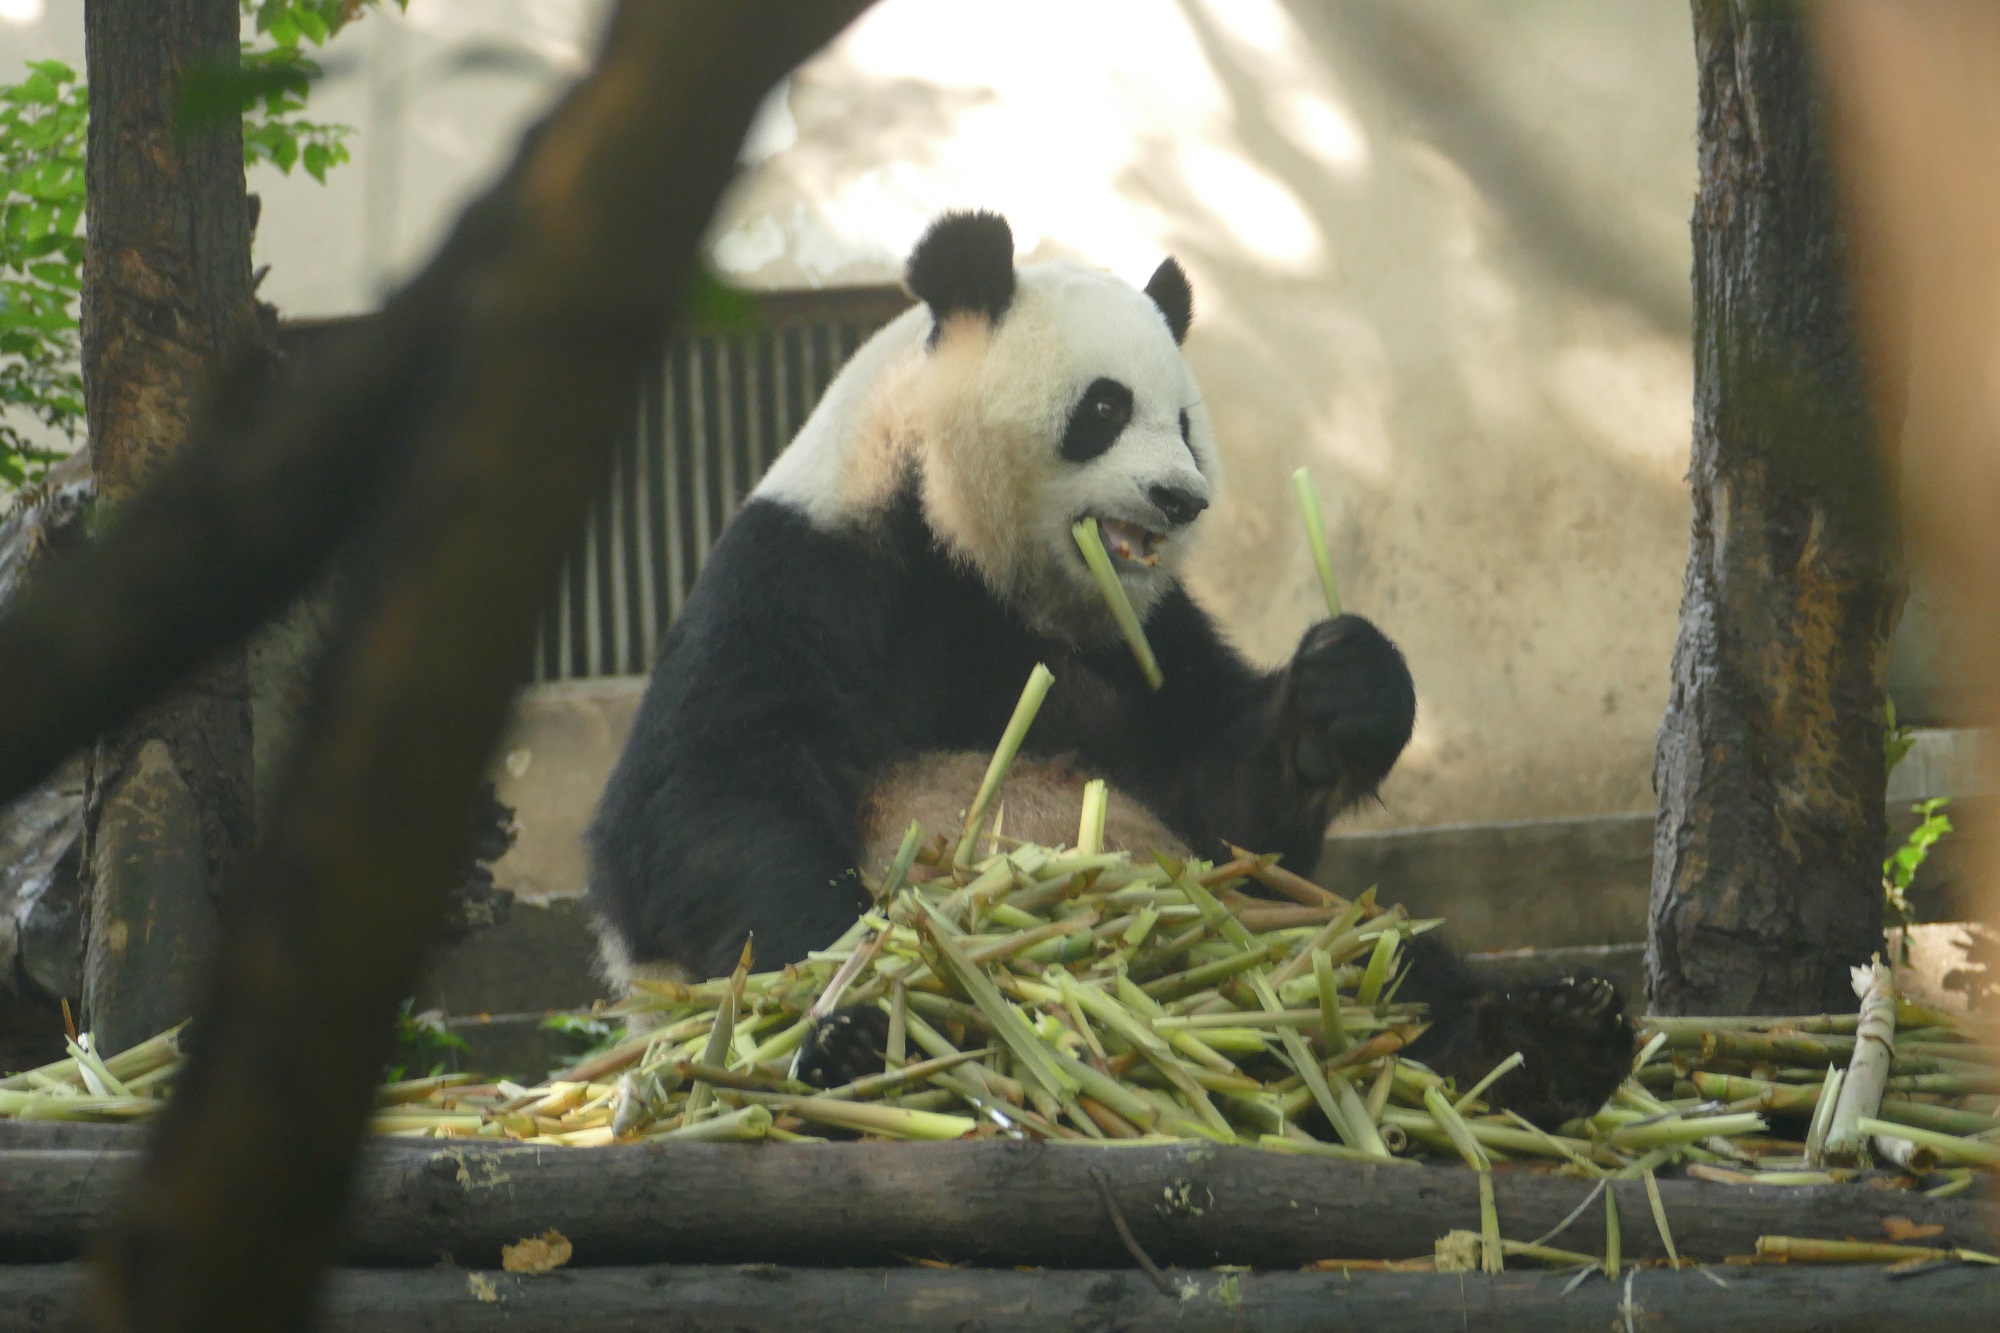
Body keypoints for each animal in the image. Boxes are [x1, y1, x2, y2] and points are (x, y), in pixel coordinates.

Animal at [584, 213, 1632, 1128]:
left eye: (1187, 422)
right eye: (1103, 406)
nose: (1180, 497)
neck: (968, 552)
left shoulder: (1142, 639)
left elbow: (1228, 809)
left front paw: (1348, 689)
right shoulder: (808, 572)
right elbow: (704, 802)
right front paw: (849, 1006)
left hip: (1267, 933)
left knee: (1361, 956)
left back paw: (1549, 1039)